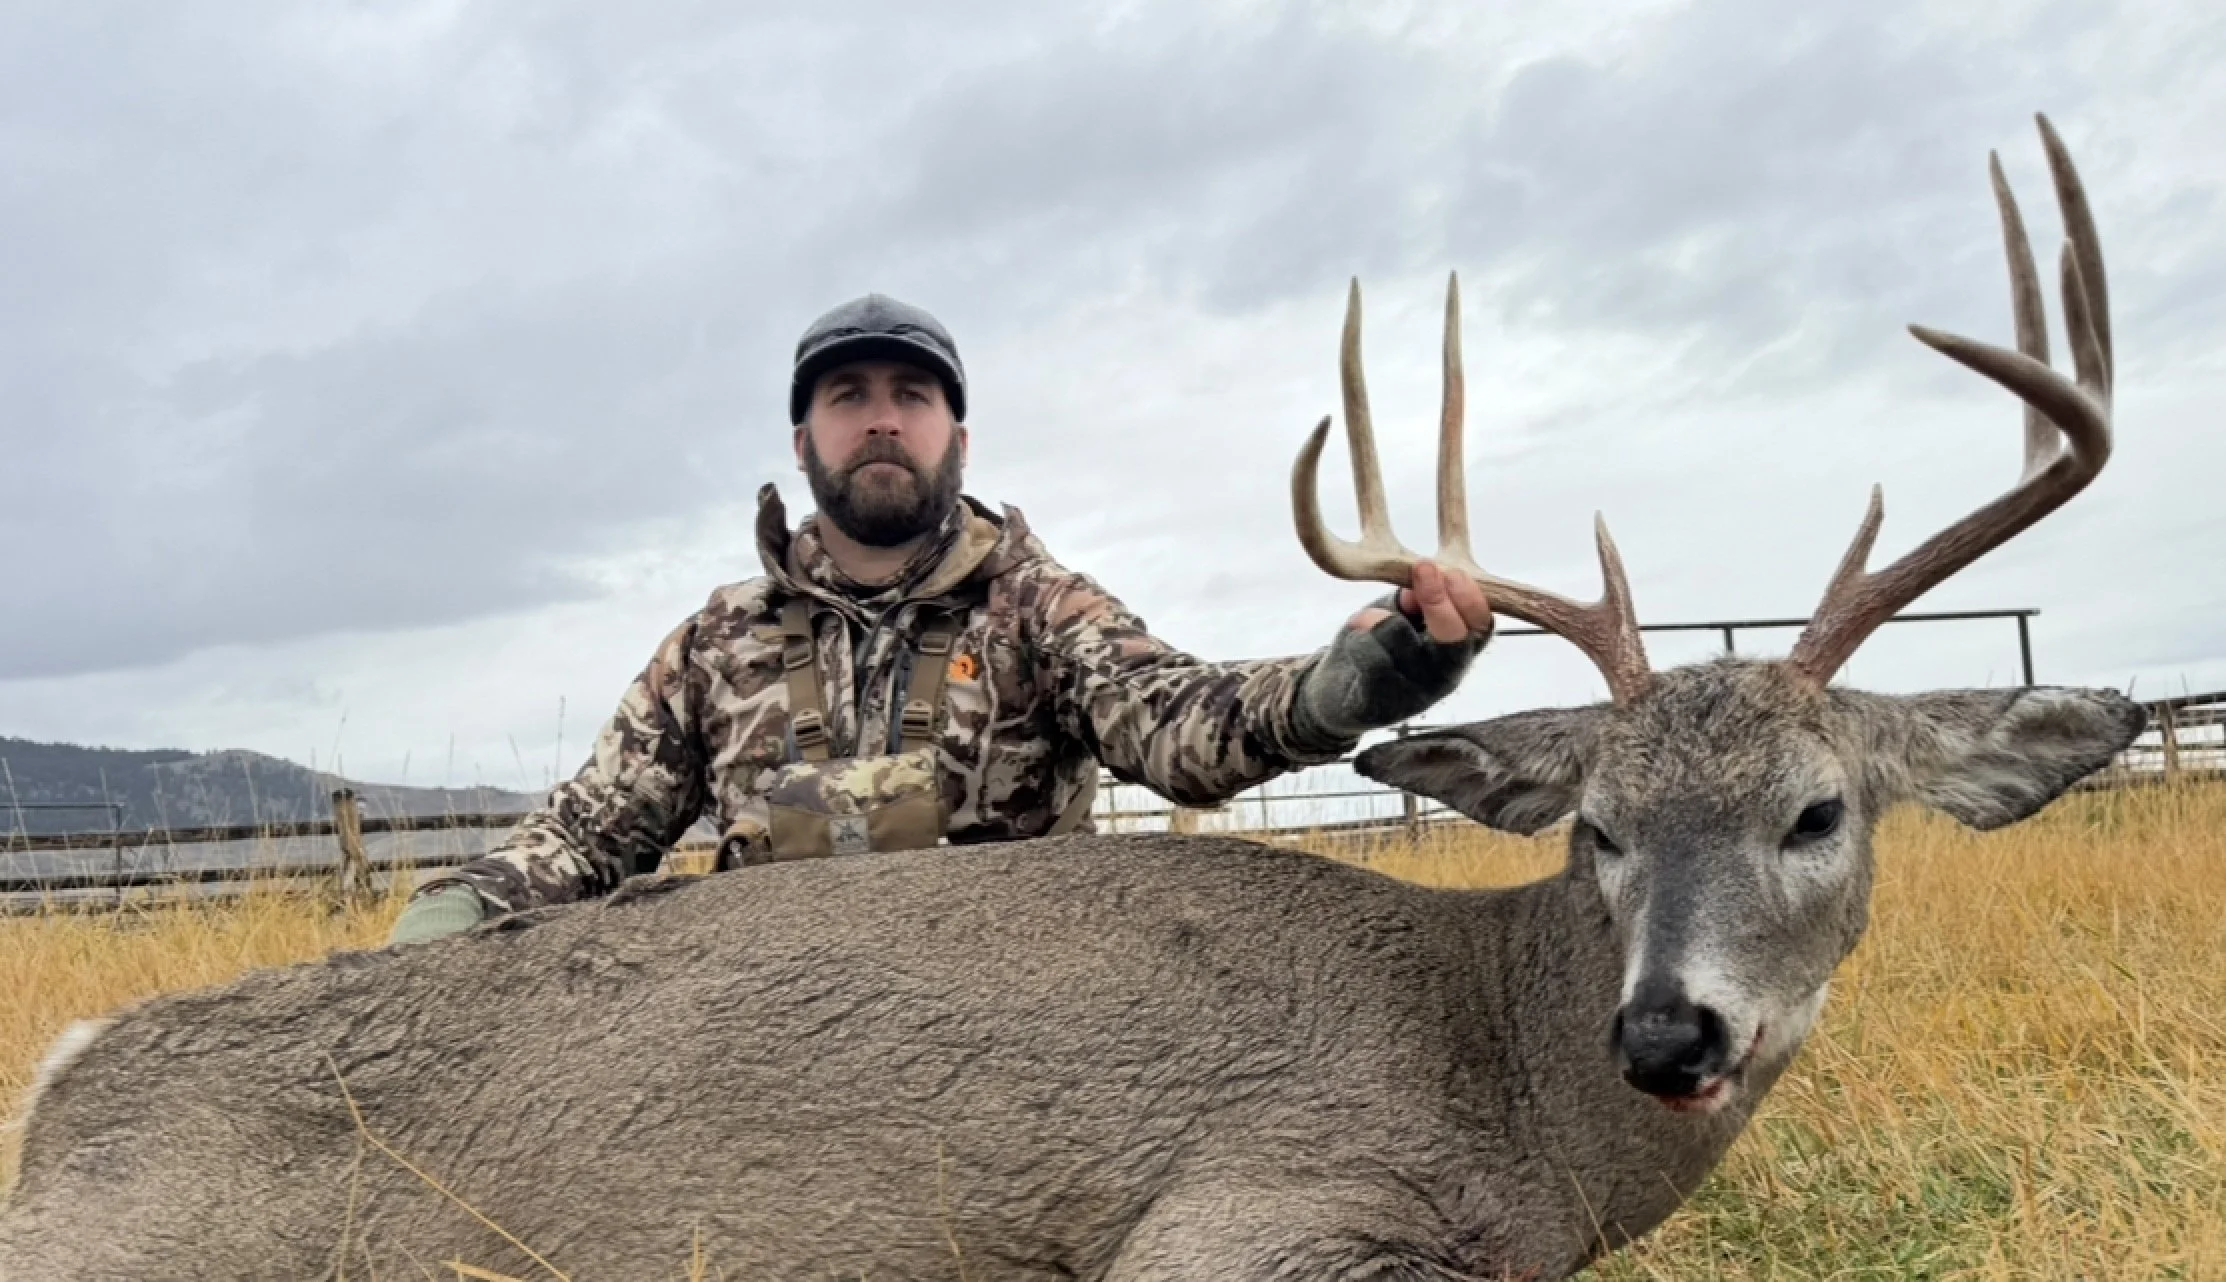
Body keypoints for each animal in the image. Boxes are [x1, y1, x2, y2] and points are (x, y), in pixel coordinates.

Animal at [0, 116, 2139, 1281]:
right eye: (1600, 829)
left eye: (1816, 811)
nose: (1669, 1031)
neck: (1500, 1076)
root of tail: (65, 1075)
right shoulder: (1232, 1216)